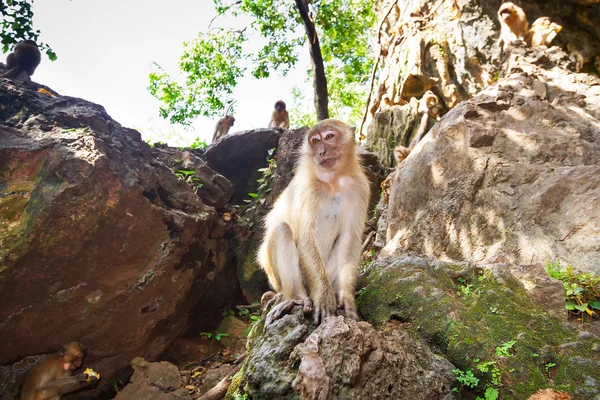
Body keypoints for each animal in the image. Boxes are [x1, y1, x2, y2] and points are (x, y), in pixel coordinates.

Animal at [258, 117, 370, 326]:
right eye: (315, 141)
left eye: (329, 137)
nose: (321, 151)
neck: (333, 181)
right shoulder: (308, 188)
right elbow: (305, 239)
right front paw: (324, 299)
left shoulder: (359, 188)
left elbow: (349, 239)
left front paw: (347, 299)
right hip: (279, 279)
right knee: (283, 229)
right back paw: (296, 298)